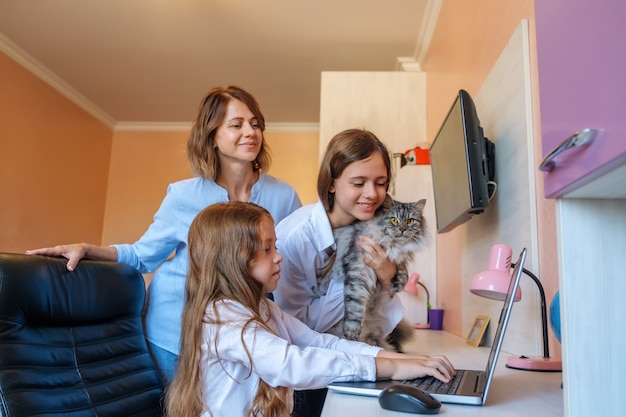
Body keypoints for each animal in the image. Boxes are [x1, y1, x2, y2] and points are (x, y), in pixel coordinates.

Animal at [320, 197, 426, 350]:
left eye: (410, 221)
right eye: (394, 220)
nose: (402, 229)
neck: (392, 245)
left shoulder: (397, 258)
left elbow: (402, 269)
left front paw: (399, 283)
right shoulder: (359, 269)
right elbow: (355, 306)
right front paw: (351, 334)